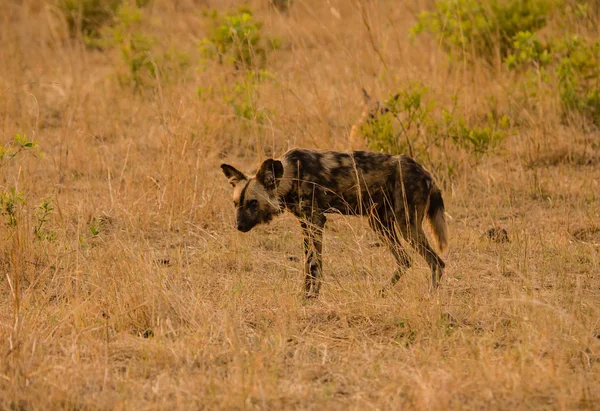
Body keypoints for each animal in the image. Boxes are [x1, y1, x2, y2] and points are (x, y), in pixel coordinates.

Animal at [220, 148, 446, 300]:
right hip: (378, 223)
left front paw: (311, 297)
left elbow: (315, 263)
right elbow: (309, 263)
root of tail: (426, 173)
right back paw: (382, 292)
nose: (239, 226)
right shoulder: (306, 224)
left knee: (436, 262)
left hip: (406, 225)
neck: (291, 176)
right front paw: (306, 295)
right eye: (236, 204)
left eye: (253, 203)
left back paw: (430, 297)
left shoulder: (316, 221)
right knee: (405, 259)